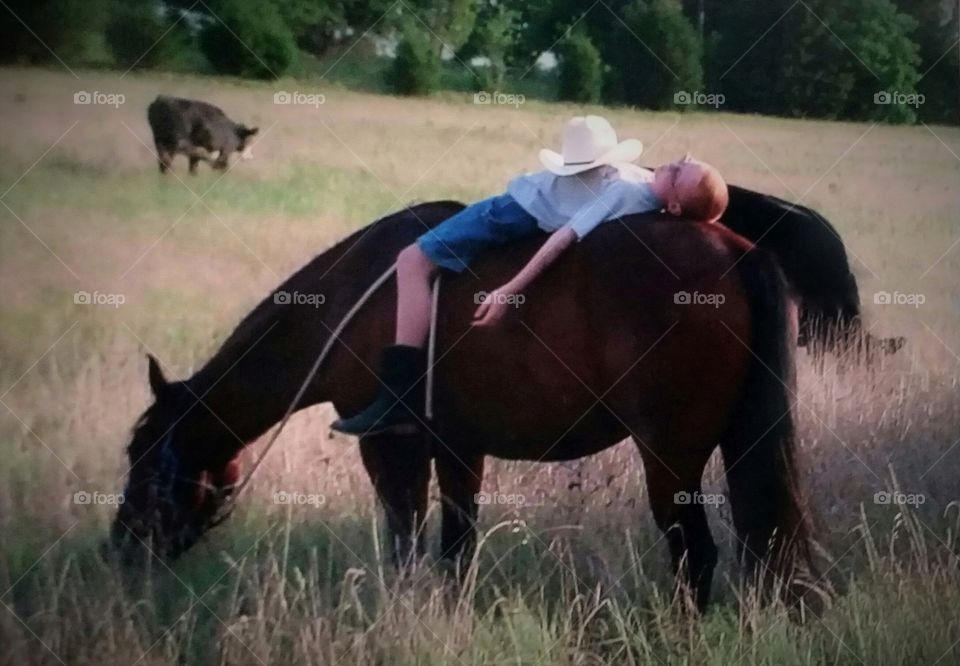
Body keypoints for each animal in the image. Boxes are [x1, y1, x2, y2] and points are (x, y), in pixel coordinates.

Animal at [111, 202, 815, 611]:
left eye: (143, 456)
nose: (118, 548)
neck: (348, 302)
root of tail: (738, 250)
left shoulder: (389, 448)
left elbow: (404, 543)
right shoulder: (457, 449)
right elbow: (455, 550)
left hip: (670, 460)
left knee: (696, 557)